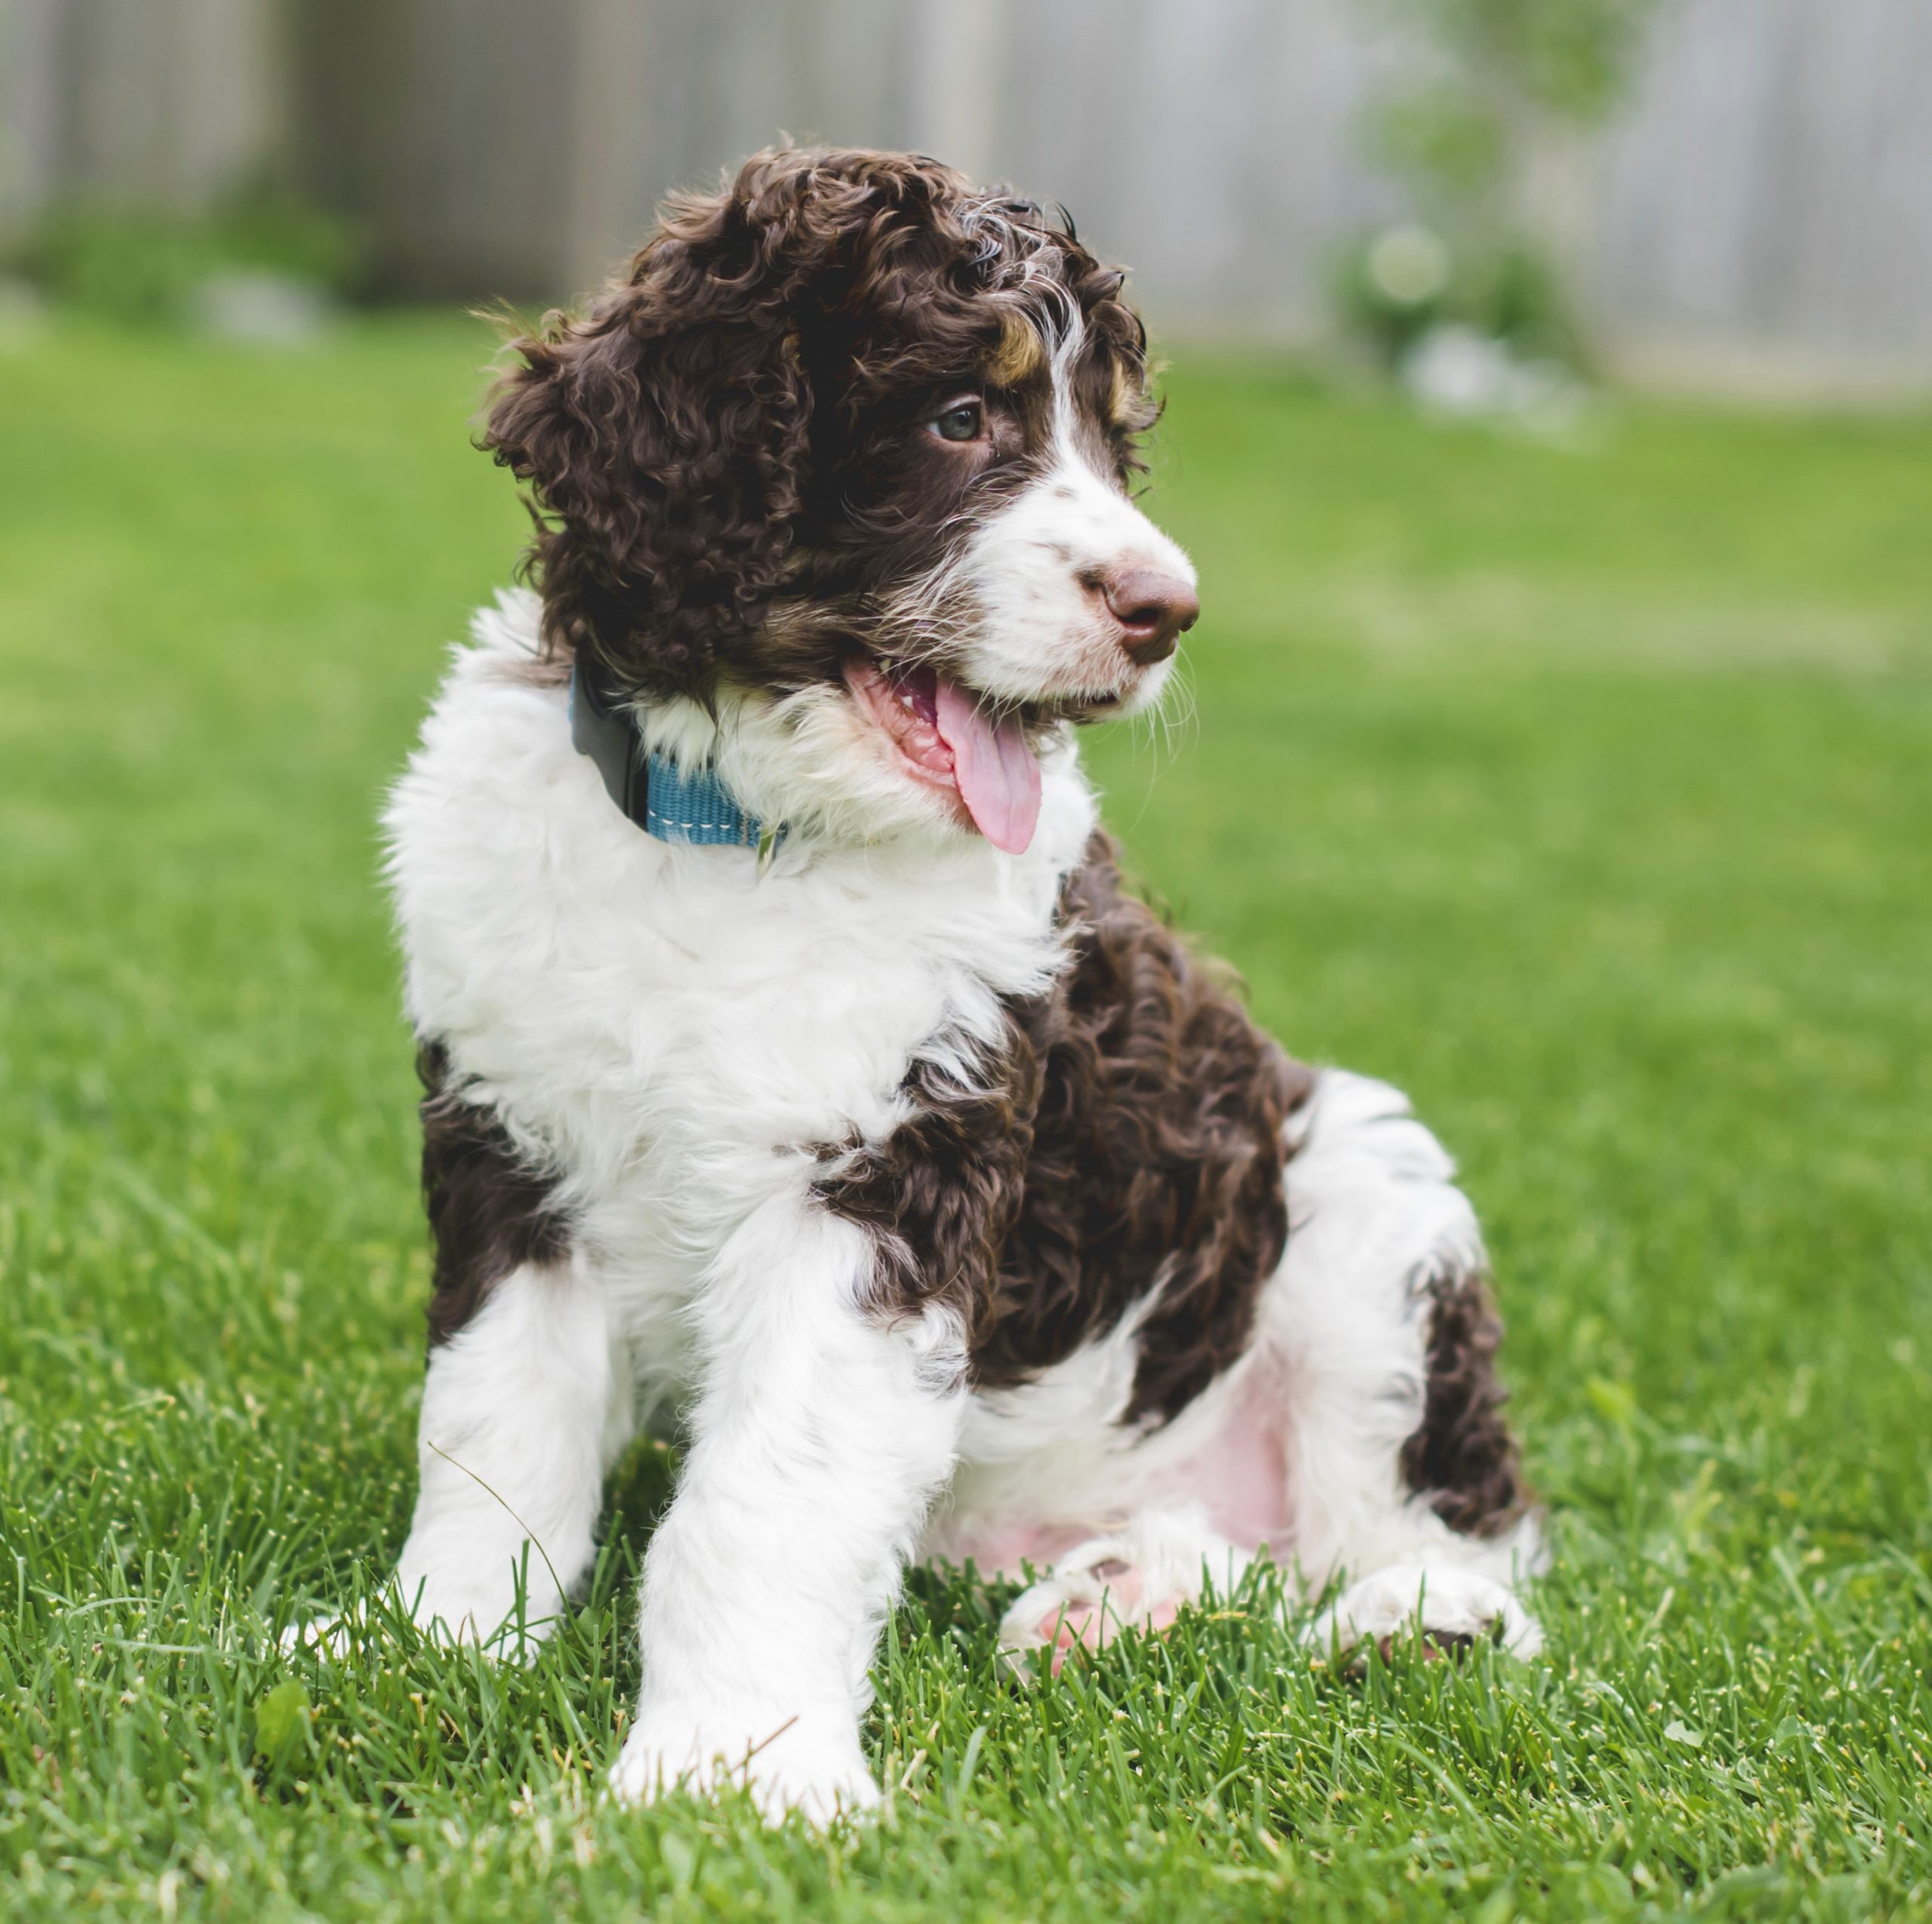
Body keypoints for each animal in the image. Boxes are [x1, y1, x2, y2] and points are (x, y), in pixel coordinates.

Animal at [328, 146, 1553, 1815]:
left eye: (1110, 437)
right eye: (961, 416)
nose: (1167, 608)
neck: (734, 833)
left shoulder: (891, 1174)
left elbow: (763, 1494)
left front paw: (732, 1767)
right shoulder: (509, 1139)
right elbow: (491, 1423)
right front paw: (437, 1638)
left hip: (1369, 1205)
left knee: (1428, 1525)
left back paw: (1404, 1614)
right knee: (1233, 1556)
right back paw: (1116, 1596)